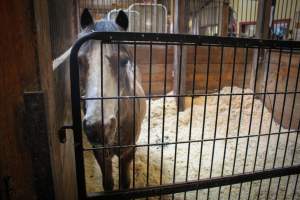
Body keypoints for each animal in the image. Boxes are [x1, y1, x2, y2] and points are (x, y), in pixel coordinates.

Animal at [78, 9, 146, 191]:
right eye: (79, 61)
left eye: (124, 61)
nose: (98, 127)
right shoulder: (100, 152)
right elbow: (108, 184)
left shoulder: (128, 152)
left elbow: (125, 184)